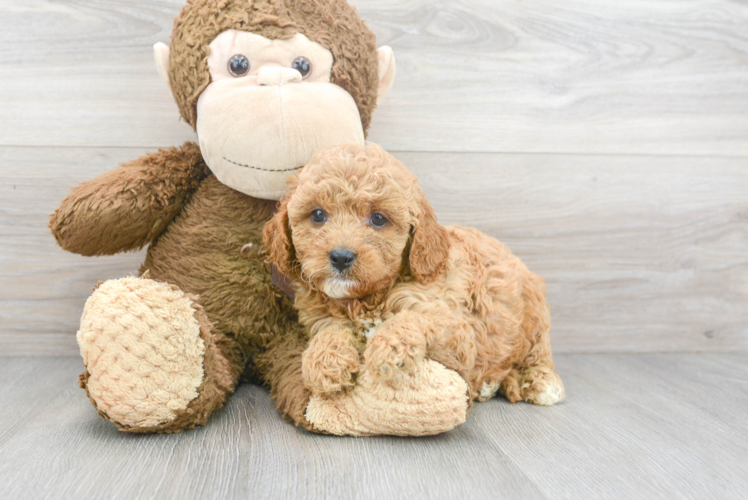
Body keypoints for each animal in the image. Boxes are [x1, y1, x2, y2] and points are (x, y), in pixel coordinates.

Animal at [262, 143, 560, 408]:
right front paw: (324, 361)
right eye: (318, 215)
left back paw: (538, 382)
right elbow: (331, 329)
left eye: (378, 218)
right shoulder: (320, 318)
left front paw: (387, 348)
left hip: (534, 318)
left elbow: (414, 318)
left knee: (536, 355)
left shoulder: (459, 332)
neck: (366, 300)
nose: (341, 257)